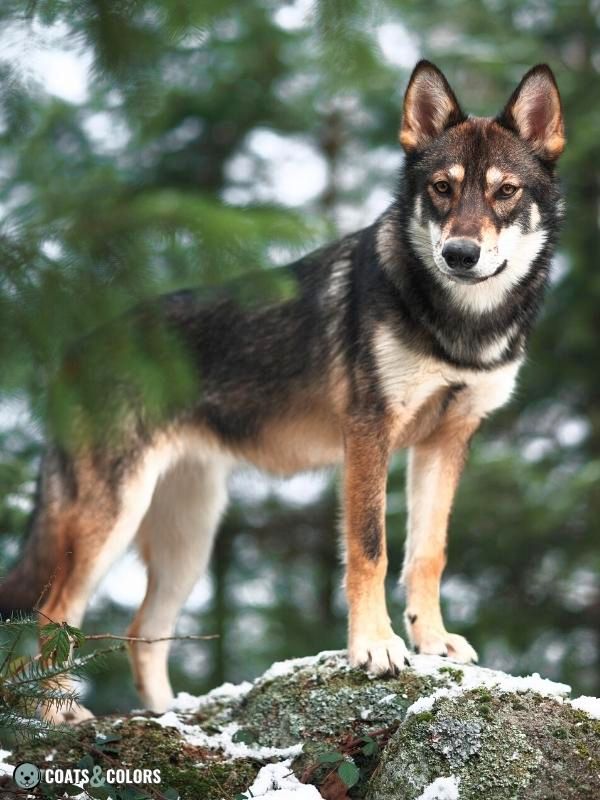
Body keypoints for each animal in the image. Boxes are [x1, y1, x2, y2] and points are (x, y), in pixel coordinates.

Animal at [0, 59, 564, 720]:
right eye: (442, 189)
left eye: (505, 191)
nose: (460, 253)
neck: (460, 325)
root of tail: (74, 352)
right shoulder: (368, 434)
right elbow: (370, 549)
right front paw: (375, 648)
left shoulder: (446, 442)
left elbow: (428, 553)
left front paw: (432, 641)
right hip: (110, 520)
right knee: (48, 618)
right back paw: (60, 714)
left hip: (189, 539)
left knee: (142, 631)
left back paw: (170, 717)